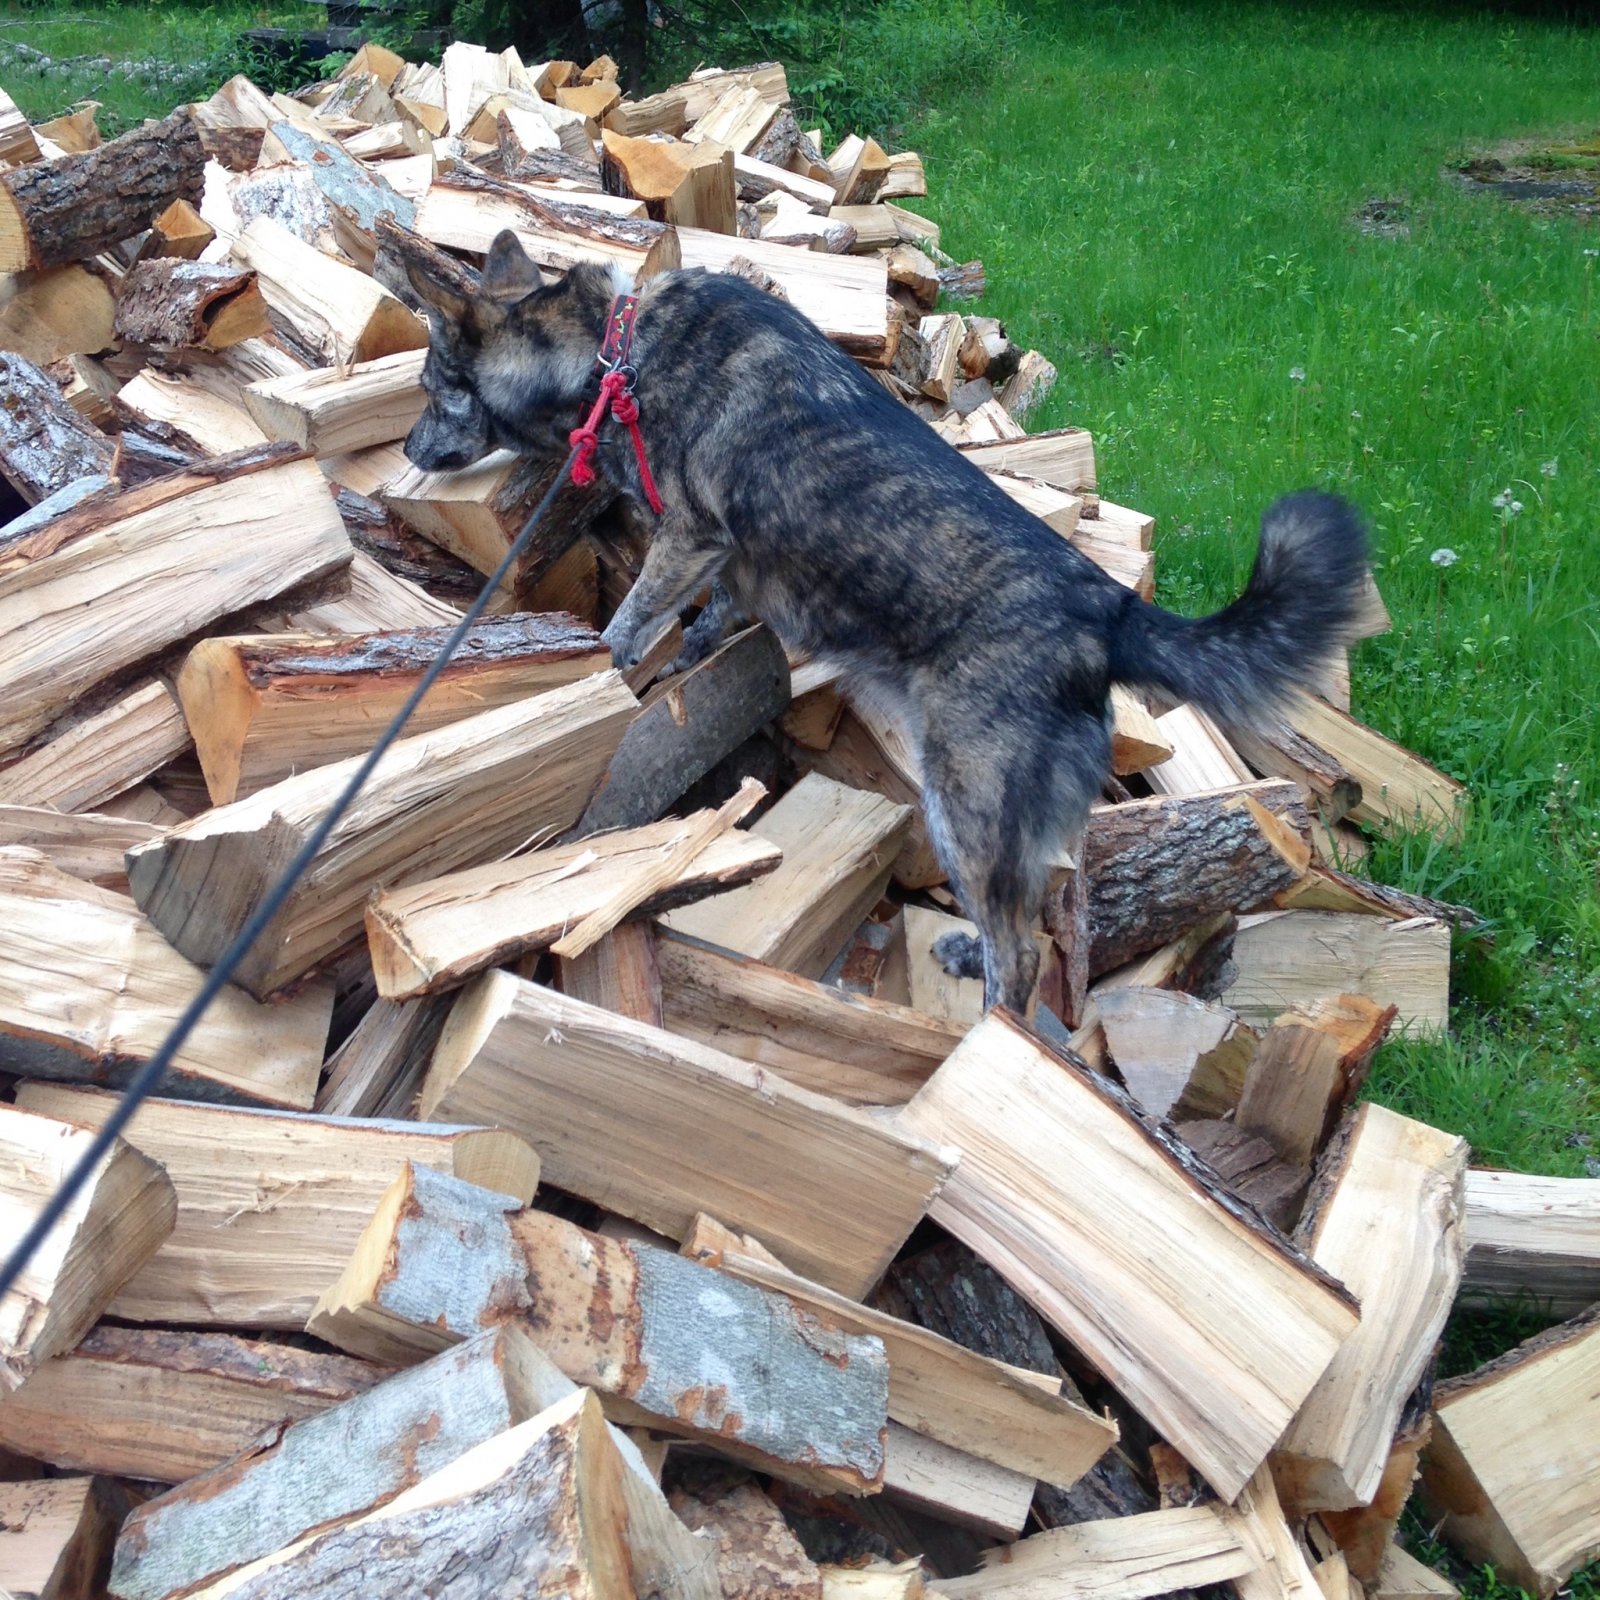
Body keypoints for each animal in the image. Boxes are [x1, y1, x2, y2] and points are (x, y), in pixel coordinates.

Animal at [393, 222, 1369, 1011]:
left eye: (435, 387)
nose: (405, 448)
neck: (611, 355)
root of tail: (1109, 607)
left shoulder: (690, 538)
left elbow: (629, 627)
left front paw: (600, 677)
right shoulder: (730, 559)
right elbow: (709, 621)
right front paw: (687, 662)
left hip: (964, 805)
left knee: (1022, 961)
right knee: (1040, 921)